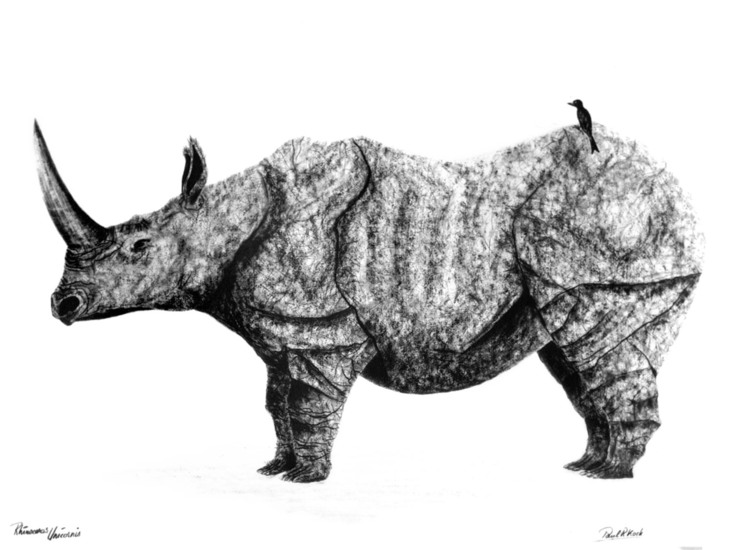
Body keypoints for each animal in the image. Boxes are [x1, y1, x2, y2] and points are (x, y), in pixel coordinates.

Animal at [35, 121, 703, 481]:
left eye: (139, 248)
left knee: (598, 345)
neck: (225, 216)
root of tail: (674, 185)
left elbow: (305, 404)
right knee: (578, 359)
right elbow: (277, 401)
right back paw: (585, 465)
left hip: (610, 243)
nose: (62, 305)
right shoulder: (285, 330)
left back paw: (610, 476)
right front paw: (276, 471)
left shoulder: (321, 326)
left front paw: (306, 480)